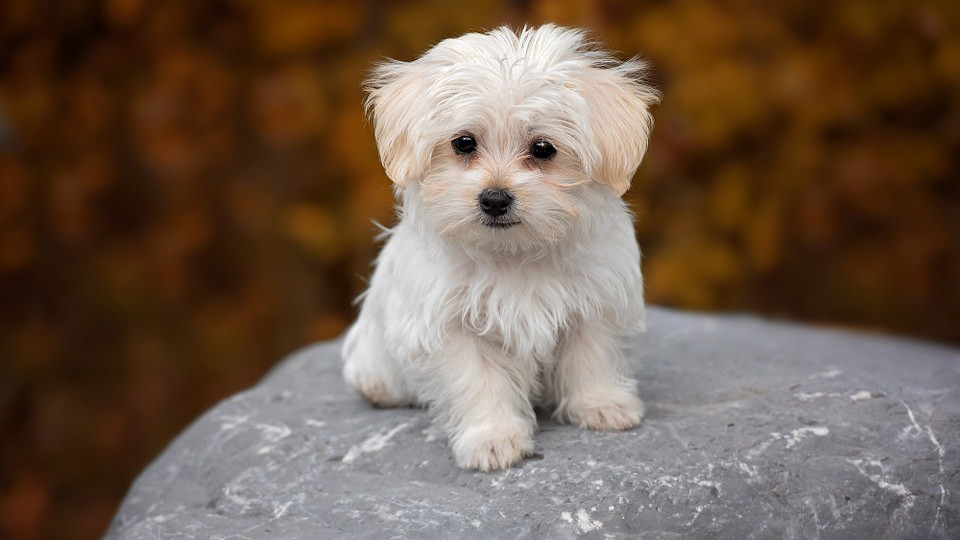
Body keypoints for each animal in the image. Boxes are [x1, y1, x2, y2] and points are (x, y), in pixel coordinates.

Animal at [340, 25, 660, 470]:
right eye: (463, 143)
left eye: (543, 149)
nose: (494, 199)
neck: (514, 253)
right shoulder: (450, 324)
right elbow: (479, 380)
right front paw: (492, 437)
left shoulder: (595, 298)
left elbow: (591, 356)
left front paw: (601, 404)